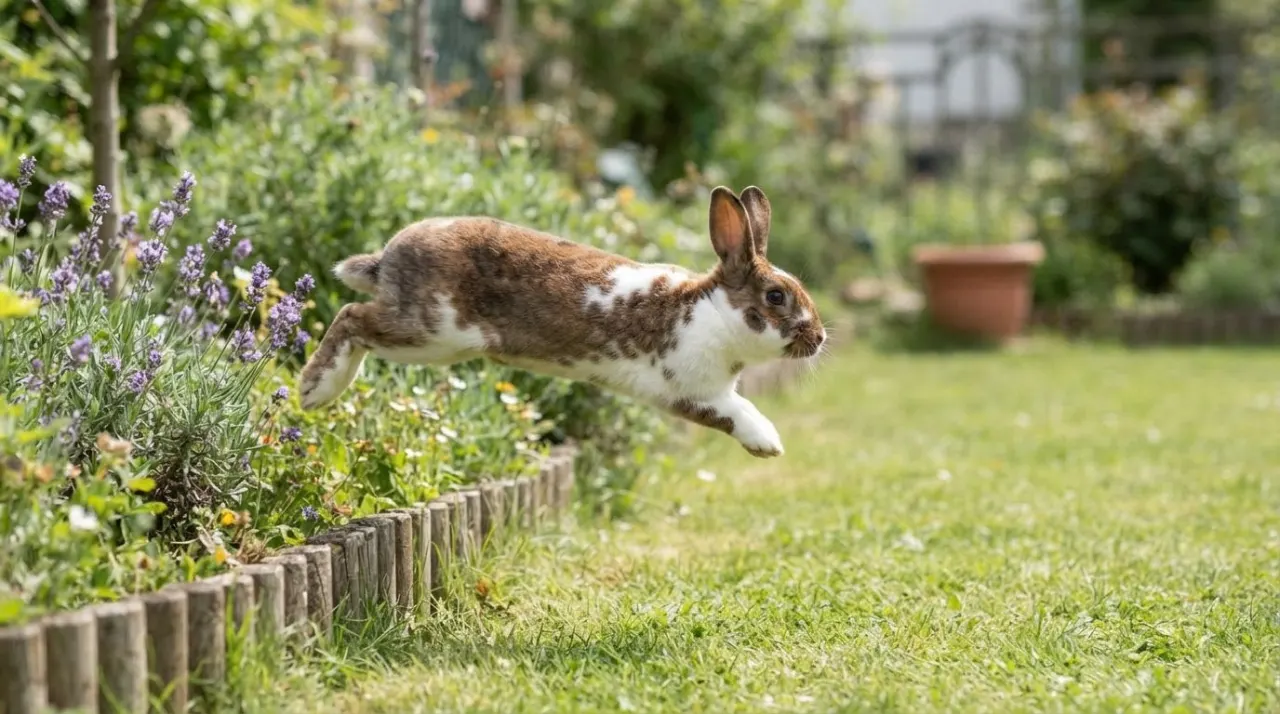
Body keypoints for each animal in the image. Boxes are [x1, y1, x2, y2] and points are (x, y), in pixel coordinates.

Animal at [297, 185, 827, 458]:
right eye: (776, 296)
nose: (819, 338)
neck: (712, 311)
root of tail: (390, 256)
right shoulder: (693, 392)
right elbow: (738, 413)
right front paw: (769, 444)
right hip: (431, 332)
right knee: (351, 317)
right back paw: (313, 390)